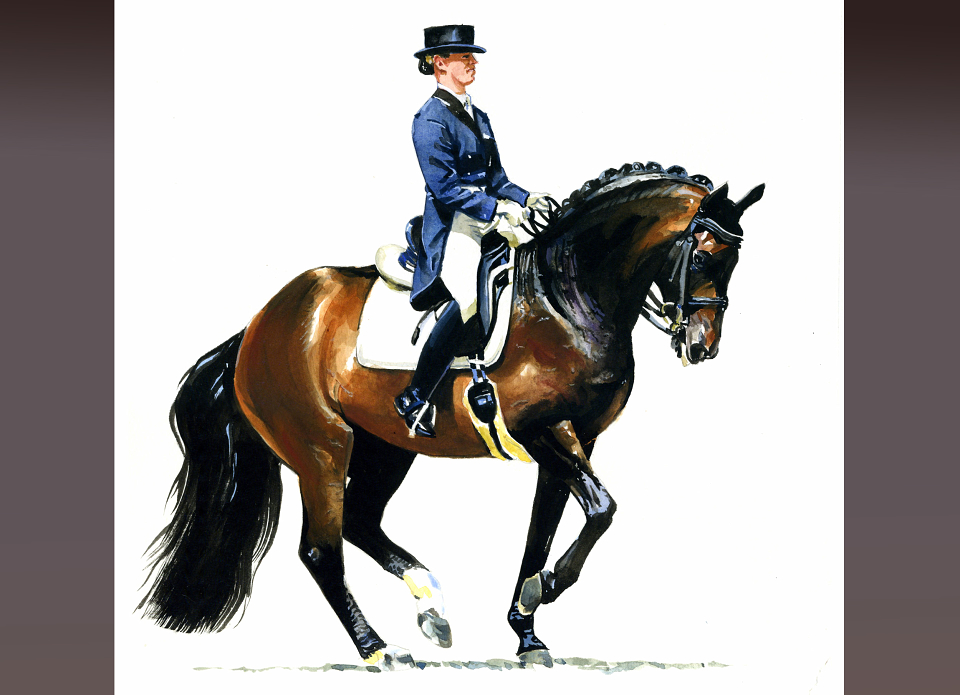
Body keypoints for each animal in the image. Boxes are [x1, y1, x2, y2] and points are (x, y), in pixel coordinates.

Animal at [139, 161, 764, 669]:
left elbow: (546, 529)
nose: (702, 346)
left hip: (386, 447)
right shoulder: (541, 431)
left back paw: (431, 609)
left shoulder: (574, 439)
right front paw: (545, 589)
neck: (568, 299)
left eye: (736, 259)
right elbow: (603, 510)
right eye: (703, 254)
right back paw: (379, 649)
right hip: (322, 449)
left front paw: (527, 629)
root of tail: (259, 323)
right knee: (322, 550)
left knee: (360, 522)